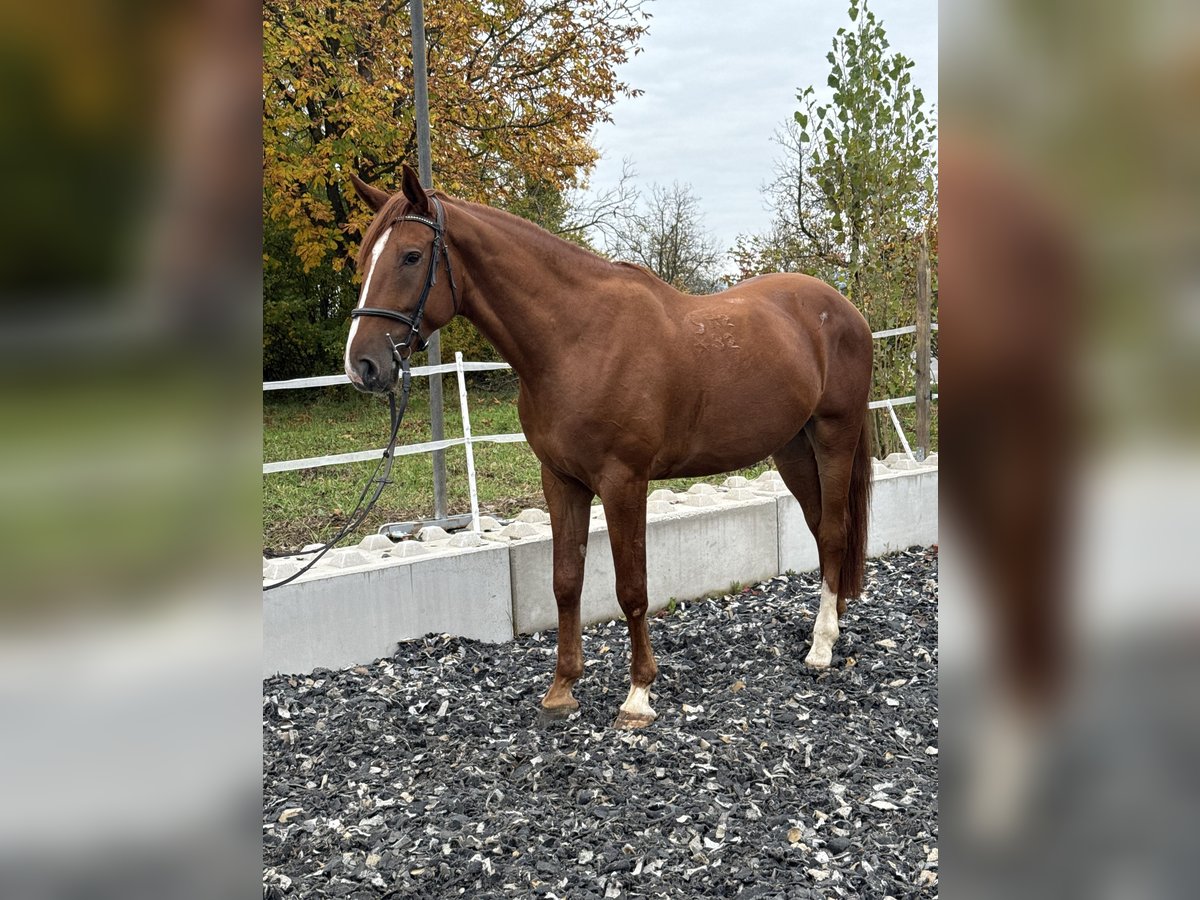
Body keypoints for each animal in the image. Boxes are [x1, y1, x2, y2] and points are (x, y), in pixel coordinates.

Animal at [343, 164, 874, 729]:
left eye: (411, 256)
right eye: (365, 258)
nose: (363, 365)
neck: (578, 340)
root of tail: (844, 308)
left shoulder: (624, 482)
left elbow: (631, 588)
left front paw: (638, 694)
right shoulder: (561, 480)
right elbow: (565, 581)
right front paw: (561, 689)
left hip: (833, 436)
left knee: (835, 532)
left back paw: (822, 646)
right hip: (792, 448)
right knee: (820, 528)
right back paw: (832, 620)